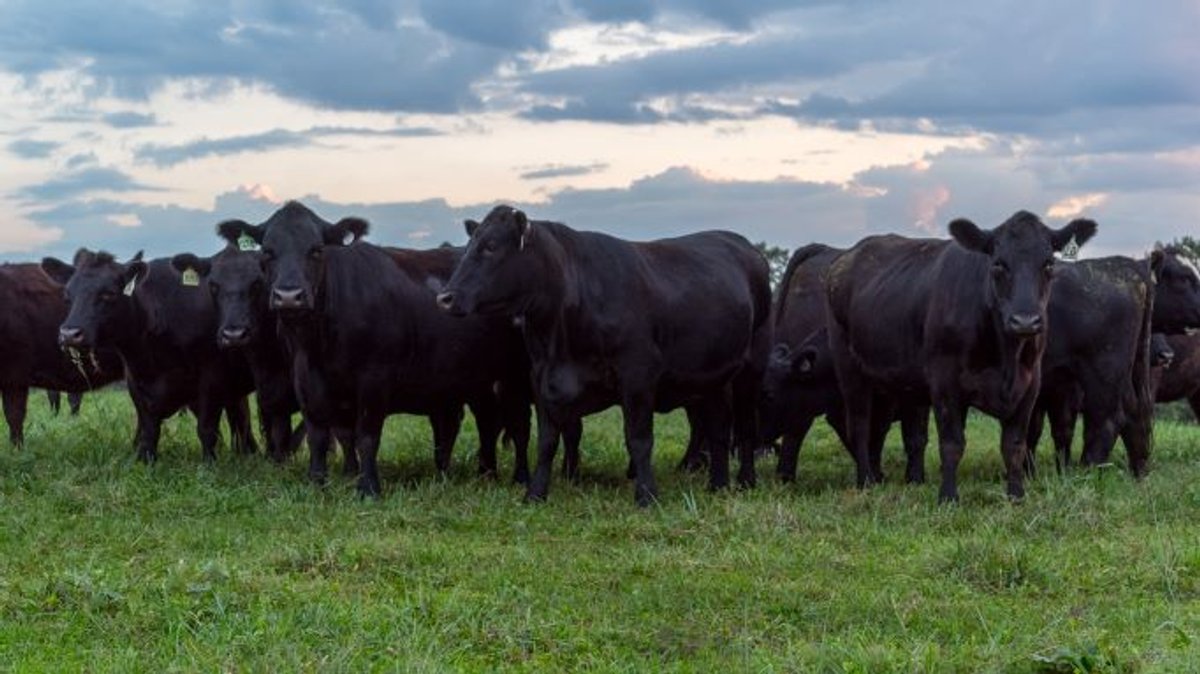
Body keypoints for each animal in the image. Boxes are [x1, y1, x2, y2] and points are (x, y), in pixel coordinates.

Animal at [40, 250, 258, 462]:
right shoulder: (136, 382)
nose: (69, 334)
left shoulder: (210, 378)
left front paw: (209, 465)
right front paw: (146, 462)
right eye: (68, 295)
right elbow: (149, 429)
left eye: (108, 294)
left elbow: (206, 429)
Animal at [216, 201, 532, 497]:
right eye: (267, 252)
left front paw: (368, 487)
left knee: (518, 424)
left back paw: (518, 478)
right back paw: (483, 474)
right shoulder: (307, 381)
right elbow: (322, 434)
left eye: (316, 250)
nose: (289, 296)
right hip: (476, 380)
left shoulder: (374, 380)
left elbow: (366, 435)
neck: (322, 342)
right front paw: (319, 482)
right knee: (485, 420)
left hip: (514, 375)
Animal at [437, 205, 772, 506]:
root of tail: (742, 245)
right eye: (470, 246)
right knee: (719, 427)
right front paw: (535, 494)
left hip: (750, 370)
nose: (445, 297)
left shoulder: (637, 375)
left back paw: (746, 481)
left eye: (491, 247)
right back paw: (718, 484)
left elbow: (638, 440)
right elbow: (546, 441)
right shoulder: (541, 377)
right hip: (714, 377)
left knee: (744, 428)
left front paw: (647, 496)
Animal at [825, 211, 1097, 502]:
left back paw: (903, 479)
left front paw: (1016, 495)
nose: (1025, 320)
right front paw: (948, 497)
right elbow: (952, 443)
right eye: (998, 264)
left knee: (892, 431)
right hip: (850, 370)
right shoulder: (945, 382)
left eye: (1048, 264)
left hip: (896, 380)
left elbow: (1014, 445)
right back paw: (865, 481)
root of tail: (847, 257)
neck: (1006, 358)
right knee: (860, 426)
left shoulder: (1030, 385)